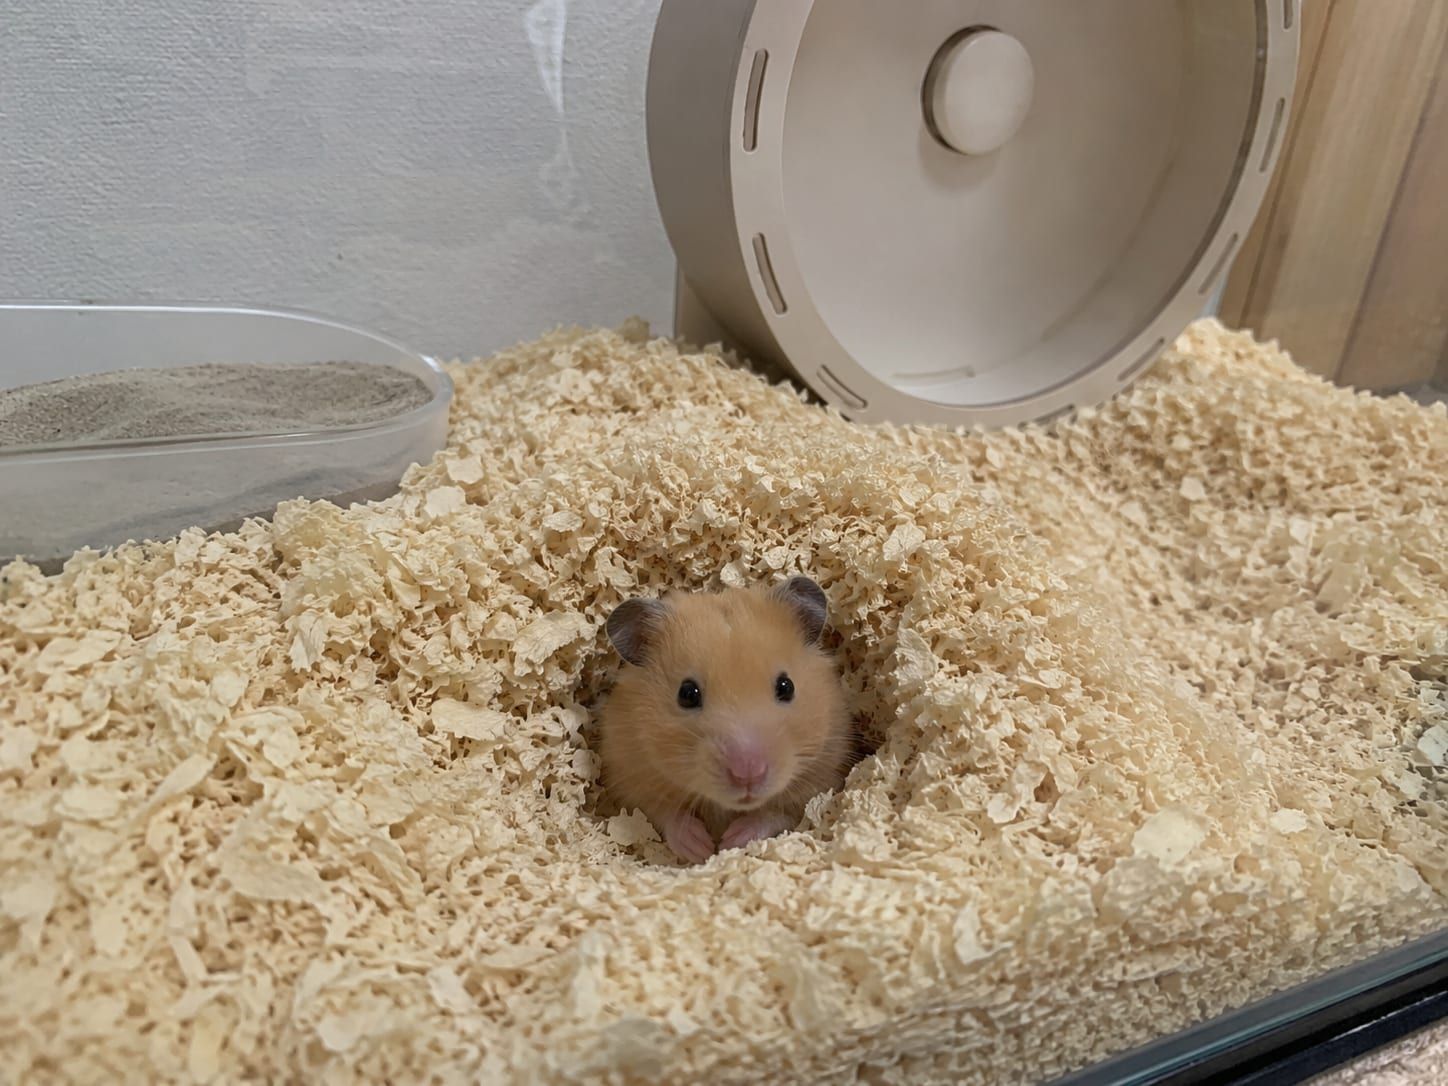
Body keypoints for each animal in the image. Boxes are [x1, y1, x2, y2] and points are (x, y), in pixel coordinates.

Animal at [598, 575, 854, 864]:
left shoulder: (822, 777)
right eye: (687, 693)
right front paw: (700, 847)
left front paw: (733, 840)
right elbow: (664, 813)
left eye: (786, 686)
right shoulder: (629, 778)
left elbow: (777, 814)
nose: (747, 775)